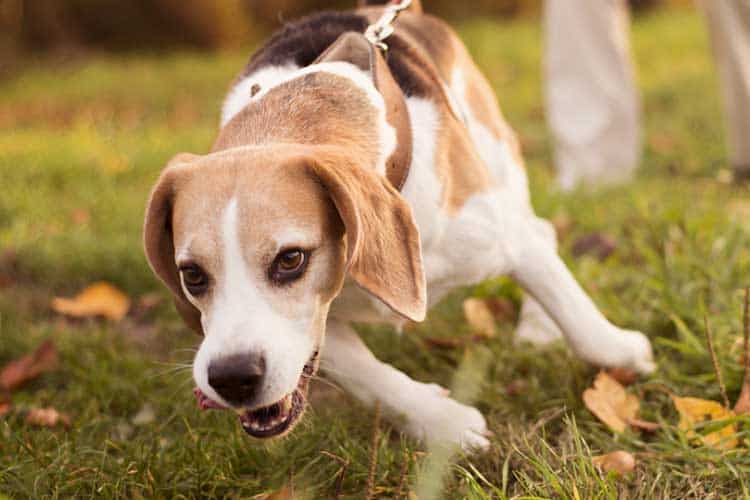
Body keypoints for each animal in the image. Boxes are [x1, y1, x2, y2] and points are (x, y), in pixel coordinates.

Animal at [144, 0, 656, 452]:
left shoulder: (507, 240)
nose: (231, 377)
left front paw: (627, 352)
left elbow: (583, 324)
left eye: (290, 260)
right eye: (192, 275)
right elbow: (368, 377)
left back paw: (537, 327)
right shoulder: (319, 325)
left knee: (544, 230)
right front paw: (443, 423)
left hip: (500, 168)